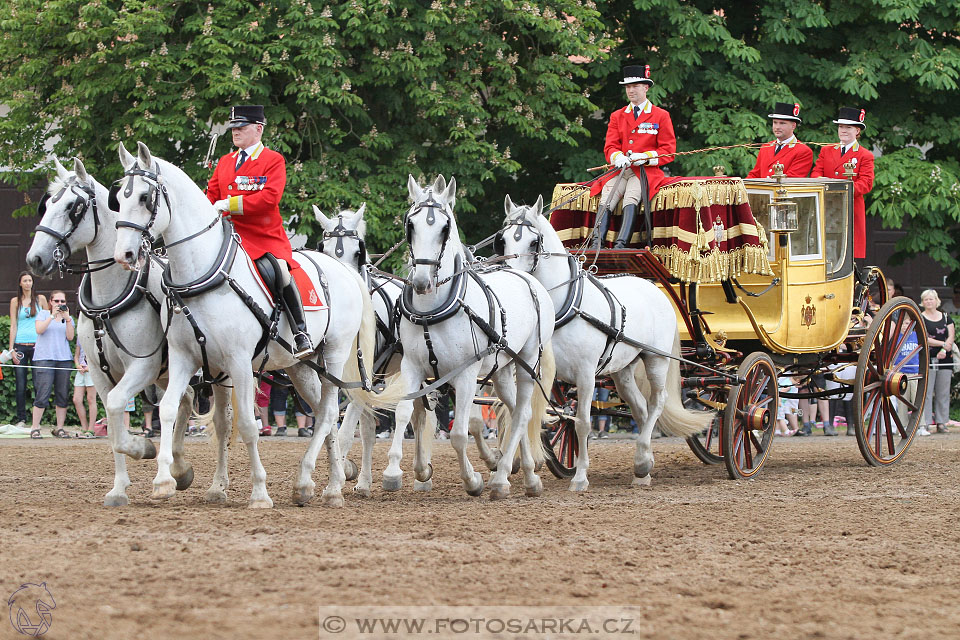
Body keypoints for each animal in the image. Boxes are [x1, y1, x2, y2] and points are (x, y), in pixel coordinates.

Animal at [25, 158, 201, 508]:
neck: (109, 298)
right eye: (46, 205)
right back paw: (179, 466)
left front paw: (142, 447)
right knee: (184, 399)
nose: (35, 259)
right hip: (170, 371)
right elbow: (113, 421)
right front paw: (119, 489)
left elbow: (120, 408)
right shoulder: (98, 371)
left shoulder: (143, 365)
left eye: (73, 207)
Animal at [109, 142, 386, 508]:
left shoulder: (239, 362)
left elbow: (248, 425)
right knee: (321, 414)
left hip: (335, 356)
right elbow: (169, 410)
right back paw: (329, 484)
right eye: (118, 198)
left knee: (327, 414)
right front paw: (165, 480)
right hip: (301, 367)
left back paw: (311, 482)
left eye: (144, 197)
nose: (124, 254)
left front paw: (259, 492)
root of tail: (344, 272)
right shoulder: (186, 358)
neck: (203, 274)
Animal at [316, 205, 502, 496]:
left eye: (359, 252)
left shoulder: (367, 375)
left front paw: (341, 473)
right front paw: (355, 476)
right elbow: (355, 427)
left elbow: (347, 430)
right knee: (411, 417)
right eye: (323, 250)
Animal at [376, 176, 552, 500]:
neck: (432, 310)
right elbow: (404, 413)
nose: (422, 282)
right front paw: (396, 472)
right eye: (410, 225)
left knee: (522, 415)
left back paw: (503, 478)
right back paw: (528, 475)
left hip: (529, 360)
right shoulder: (412, 367)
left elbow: (459, 432)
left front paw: (473, 480)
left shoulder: (467, 373)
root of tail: (528, 278)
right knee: (513, 411)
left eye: (444, 228)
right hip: (501, 369)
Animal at [496, 195, 712, 490]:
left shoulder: (586, 374)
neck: (568, 304)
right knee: (641, 409)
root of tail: (653, 288)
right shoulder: (535, 370)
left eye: (533, 242)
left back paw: (642, 461)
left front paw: (580, 478)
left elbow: (582, 423)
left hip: (656, 359)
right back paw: (644, 466)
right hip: (623, 369)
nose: (511, 277)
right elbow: (530, 413)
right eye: (503, 239)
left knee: (657, 402)